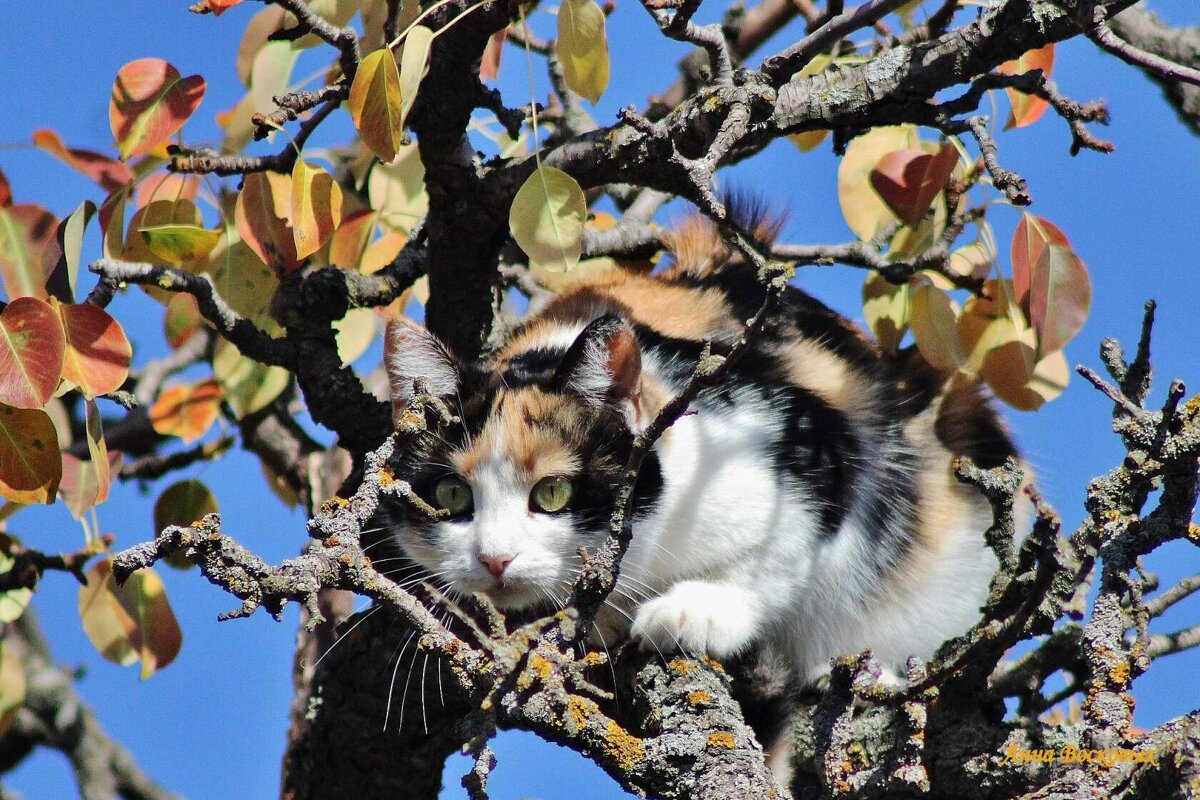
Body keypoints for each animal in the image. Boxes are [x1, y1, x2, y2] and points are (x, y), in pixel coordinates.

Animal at [379, 211, 1017, 690]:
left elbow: (780, 552)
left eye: (553, 493)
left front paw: (693, 612)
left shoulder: (804, 444)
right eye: (451, 494)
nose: (495, 559)